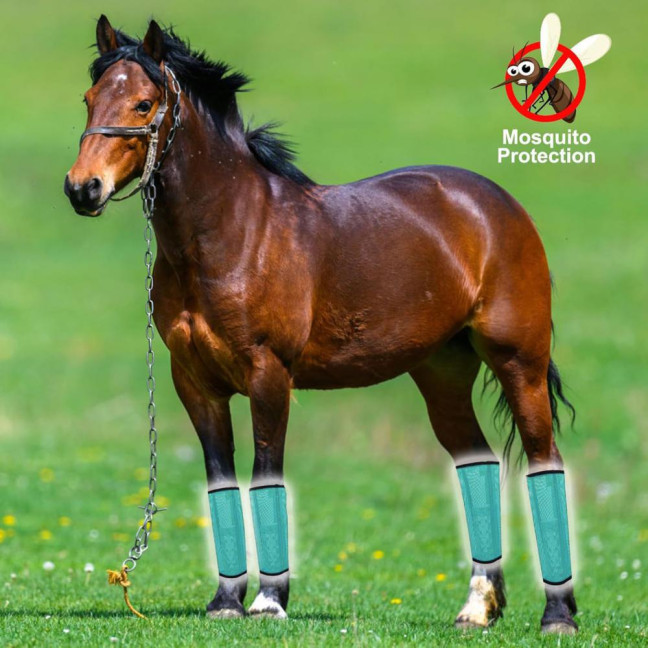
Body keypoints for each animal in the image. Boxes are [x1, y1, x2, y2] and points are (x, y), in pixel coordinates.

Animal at [65, 16, 578, 633]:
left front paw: (268, 601)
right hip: (442, 372)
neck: (233, 232)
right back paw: (477, 607)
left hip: (518, 362)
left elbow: (266, 473)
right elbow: (220, 481)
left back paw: (558, 613)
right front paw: (225, 601)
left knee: (545, 461)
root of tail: (495, 203)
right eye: (89, 98)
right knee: (476, 461)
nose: (82, 188)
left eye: (144, 104)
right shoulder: (195, 384)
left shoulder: (269, 375)